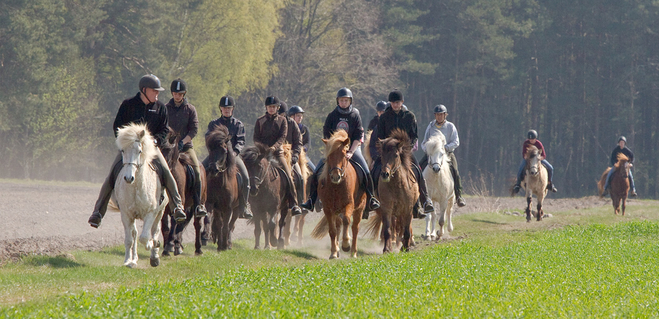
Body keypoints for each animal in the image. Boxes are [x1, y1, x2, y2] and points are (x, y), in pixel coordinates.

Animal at [112, 124, 168, 268]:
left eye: (139, 151)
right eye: (123, 150)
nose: (128, 178)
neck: (136, 187)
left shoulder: (151, 213)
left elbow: (145, 237)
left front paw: (152, 245)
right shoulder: (126, 214)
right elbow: (129, 239)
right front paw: (127, 260)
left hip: (159, 213)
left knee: (154, 231)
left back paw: (154, 256)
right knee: (135, 233)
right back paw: (133, 259)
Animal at [310, 130, 366, 260]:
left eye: (344, 155)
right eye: (329, 156)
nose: (336, 176)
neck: (336, 186)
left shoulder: (349, 204)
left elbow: (346, 220)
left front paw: (346, 244)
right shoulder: (328, 208)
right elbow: (332, 230)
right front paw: (334, 252)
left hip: (359, 208)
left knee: (355, 228)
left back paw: (353, 252)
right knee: (339, 225)